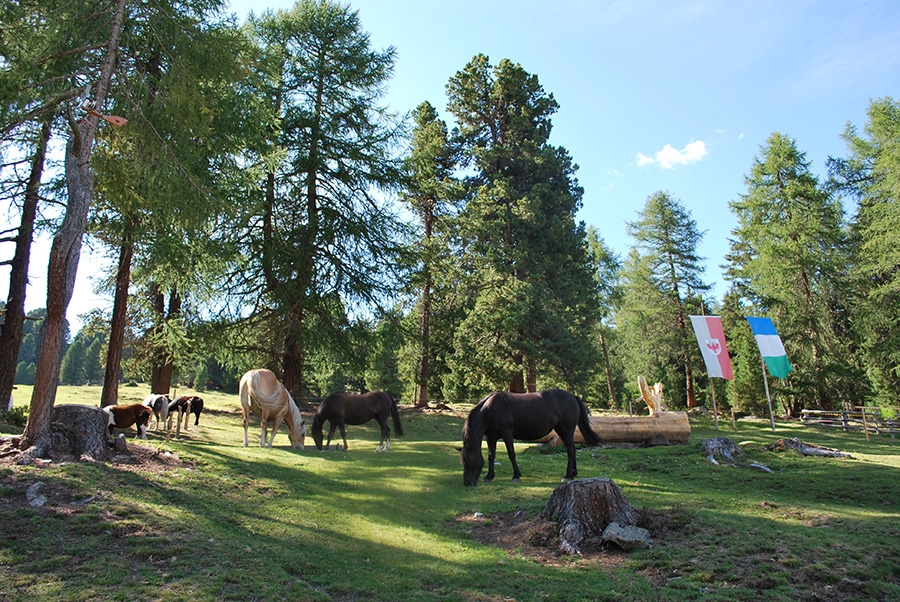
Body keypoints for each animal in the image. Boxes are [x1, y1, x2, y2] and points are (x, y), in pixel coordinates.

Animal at [460, 390, 600, 482]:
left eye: (469, 459)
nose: (467, 482)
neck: (490, 409)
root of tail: (573, 396)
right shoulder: (491, 436)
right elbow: (491, 456)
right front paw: (489, 476)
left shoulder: (507, 433)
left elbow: (511, 454)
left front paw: (516, 476)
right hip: (561, 431)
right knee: (572, 450)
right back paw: (573, 473)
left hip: (567, 430)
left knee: (571, 450)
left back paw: (567, 475)